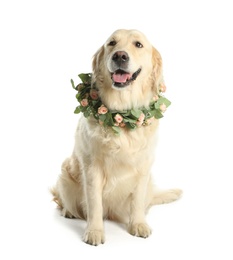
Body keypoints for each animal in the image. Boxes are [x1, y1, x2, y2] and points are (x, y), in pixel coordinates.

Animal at [51, 29, 182, 246]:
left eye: (138, 44)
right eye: (112, 43)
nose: (120, 56)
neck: (122, 115)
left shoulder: (144, 166)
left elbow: (137, 201)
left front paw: (138, 224)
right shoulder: (92, 166)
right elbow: (94, 203)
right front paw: (94, 232)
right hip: (65, 176)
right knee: (64, 200)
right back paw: (69, 212)